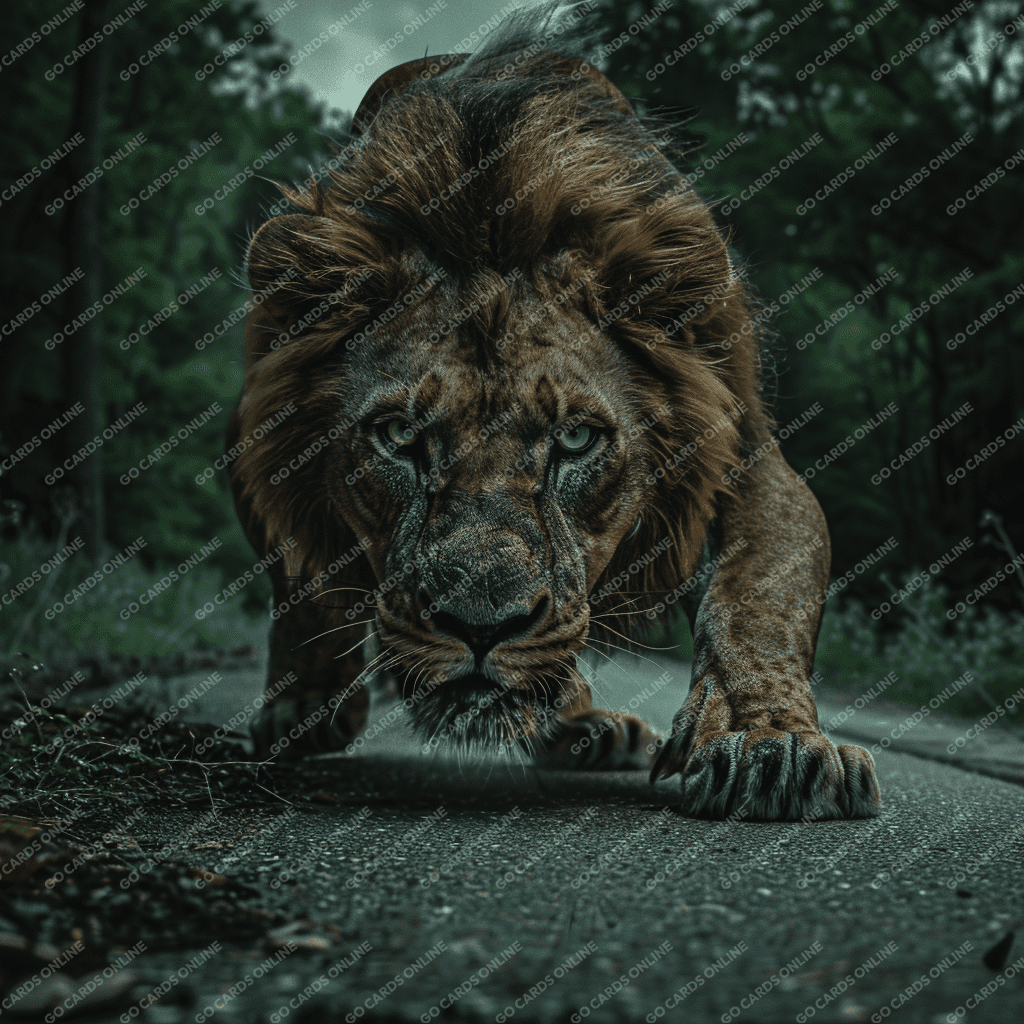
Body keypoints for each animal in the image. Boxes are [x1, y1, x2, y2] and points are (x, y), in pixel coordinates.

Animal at [225, 4, 881, 820]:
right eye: (399, 436)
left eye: (575, 439)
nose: (481, 629)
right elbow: (302, 568)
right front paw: (307, 699)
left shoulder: (743, 449)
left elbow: (761, 592)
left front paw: (773, 743)